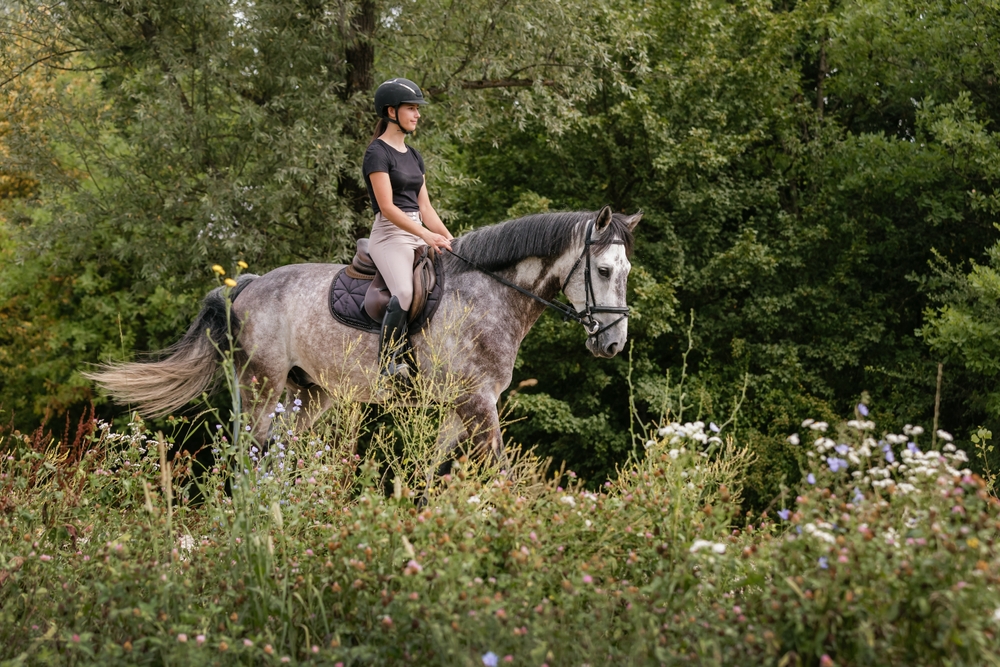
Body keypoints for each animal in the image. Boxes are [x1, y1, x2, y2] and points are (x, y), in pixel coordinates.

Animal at [86, 206, 640, 463]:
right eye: (605, 270)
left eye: (627, 270)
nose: (613, 344)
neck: (490, 292)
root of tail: (246, 286)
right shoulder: (477, 402)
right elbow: (497, 472)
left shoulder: (459, 407)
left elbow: (429, 470)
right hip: (260, 385)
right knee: (249, 449)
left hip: (310, 394)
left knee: (278, 451)